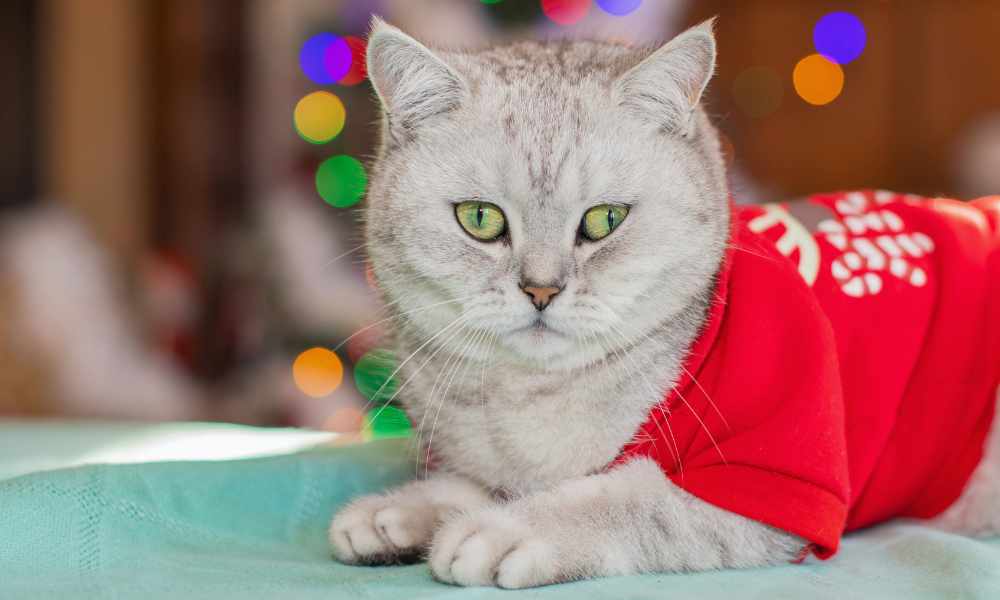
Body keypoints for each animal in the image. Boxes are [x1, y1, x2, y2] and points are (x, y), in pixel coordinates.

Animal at [330, 17, 1000, 584]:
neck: (529, 400)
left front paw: (502, 531)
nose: (542, 289)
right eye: (480, 218)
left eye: (604, 220)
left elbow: (631, 501)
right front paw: (399, 511)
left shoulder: (763, 484)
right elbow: (474, 482)